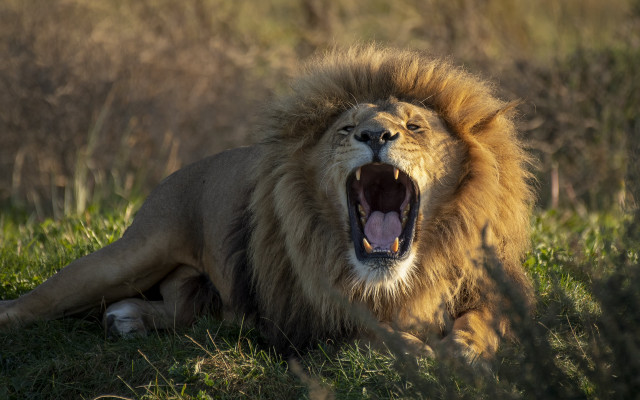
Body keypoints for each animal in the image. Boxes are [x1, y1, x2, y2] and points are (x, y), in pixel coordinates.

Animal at [0, 46, 534, 364]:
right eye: (347, 128)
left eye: (414, 126)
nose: (375, 136)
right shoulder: (311, 317)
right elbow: (376, 330)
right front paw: (421, 353)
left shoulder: (489, 286)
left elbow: (485, 320)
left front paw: (463, 349)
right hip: (133, 254)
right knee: (35, 302)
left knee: (181, 309)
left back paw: (128, 319)